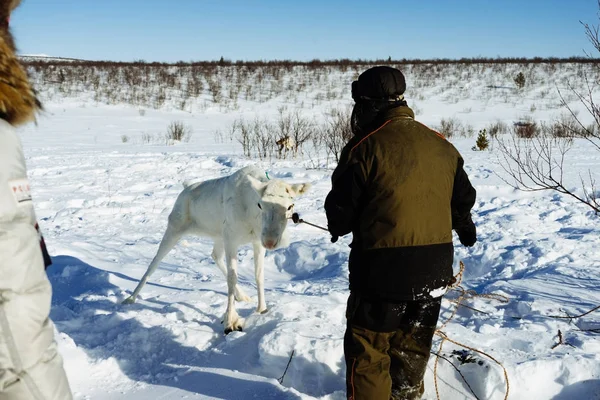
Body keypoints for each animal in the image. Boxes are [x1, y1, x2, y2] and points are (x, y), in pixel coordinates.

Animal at [122, 166, 310, 334]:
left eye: (290, 205)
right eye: (260, 205)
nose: (271, 242)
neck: (251, 217)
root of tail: (185, 188)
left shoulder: (256, 241)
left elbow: (259, 275)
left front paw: (262, 309)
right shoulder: (232, 239)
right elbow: (232, 278)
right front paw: (230, 321)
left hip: (219, 235)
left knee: (214, 255)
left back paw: (242, 295)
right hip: (175, 228)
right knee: (155, 261)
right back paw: (130, 297)